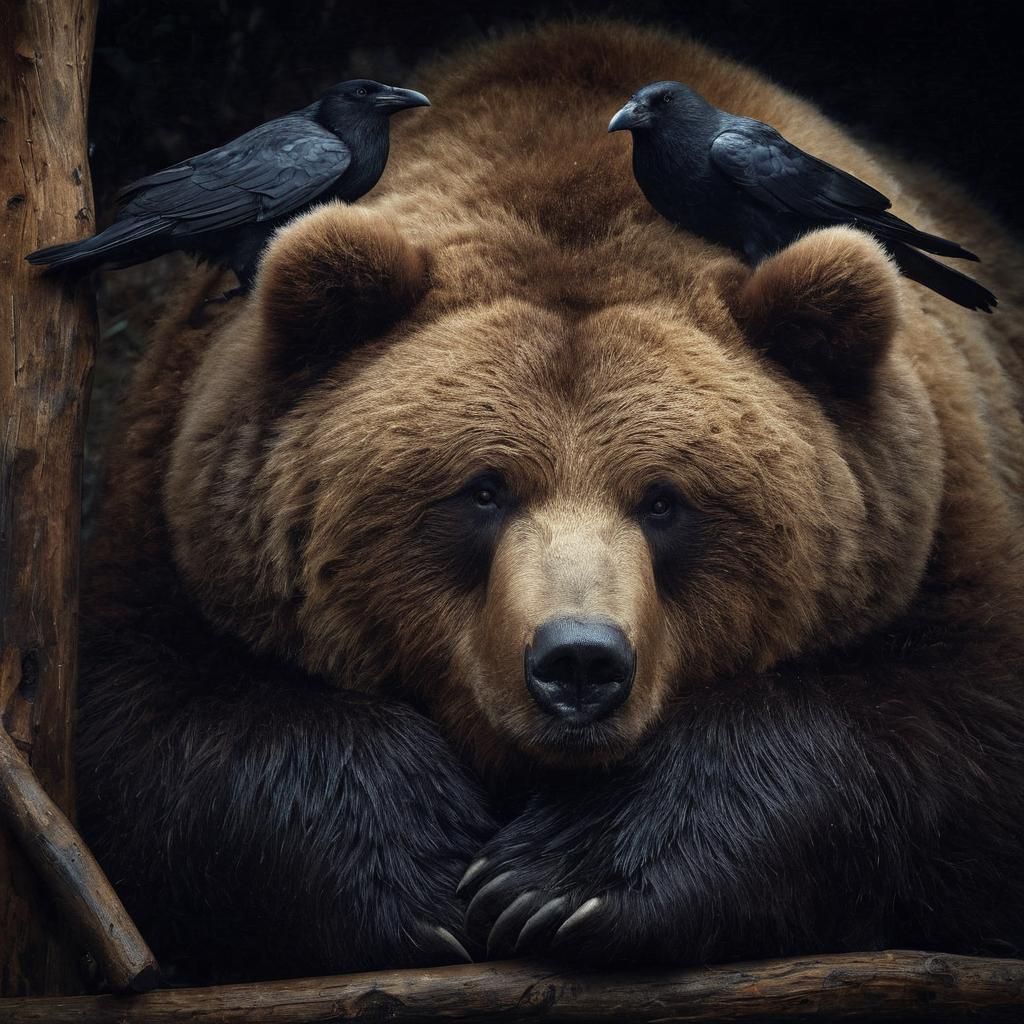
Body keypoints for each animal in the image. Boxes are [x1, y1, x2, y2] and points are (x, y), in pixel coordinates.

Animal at [77, 20, 1024, 982]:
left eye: (664, 502)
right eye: (483, 490)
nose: (578, 664)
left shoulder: (938, 524)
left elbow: (940, 743)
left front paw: (555, 881)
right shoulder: (176, 520)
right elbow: (163, 737)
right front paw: (427, 873)